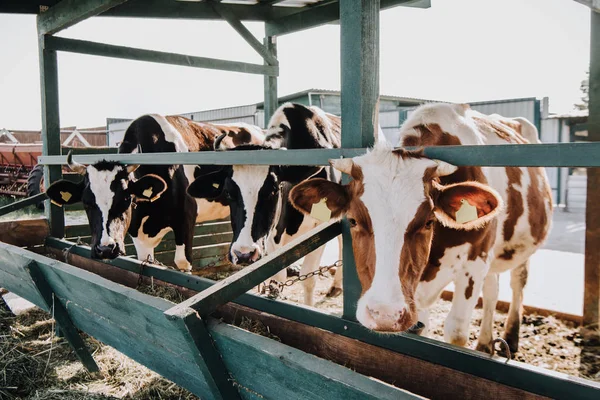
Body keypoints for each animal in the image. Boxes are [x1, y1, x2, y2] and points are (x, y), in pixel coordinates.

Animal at [45, 115, 264, 272]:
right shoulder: (138, 234)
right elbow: (147, 261)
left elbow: (182, 262)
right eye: (86, 202)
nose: (105, 249)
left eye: (126, 199)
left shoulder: (186, 218)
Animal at [188, 102, 342, 304]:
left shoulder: (321, 227)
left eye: (273, 190)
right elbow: (276, 278)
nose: (244, 254)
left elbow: (308, 279)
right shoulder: (269, 238)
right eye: (228, 192)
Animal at [290, 103, 552, 354]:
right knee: (492, 289)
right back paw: (486, 342)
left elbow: (456, 330)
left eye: (428, 221)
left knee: (518, 281)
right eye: (353, 220)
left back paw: (511, 337)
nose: (385, 315)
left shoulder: (475, 262)